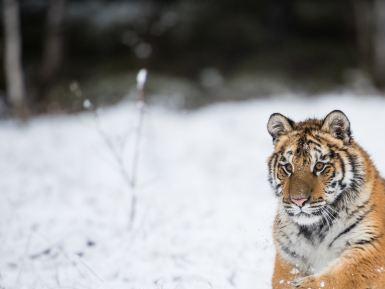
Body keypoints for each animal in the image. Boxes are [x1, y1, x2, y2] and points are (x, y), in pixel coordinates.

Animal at [268, 109, 385, 286]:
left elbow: (332, 279)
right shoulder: (288, 257)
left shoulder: (372, 244)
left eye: (319, 166)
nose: (298, 200)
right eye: (288, 167)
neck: (315, 231)